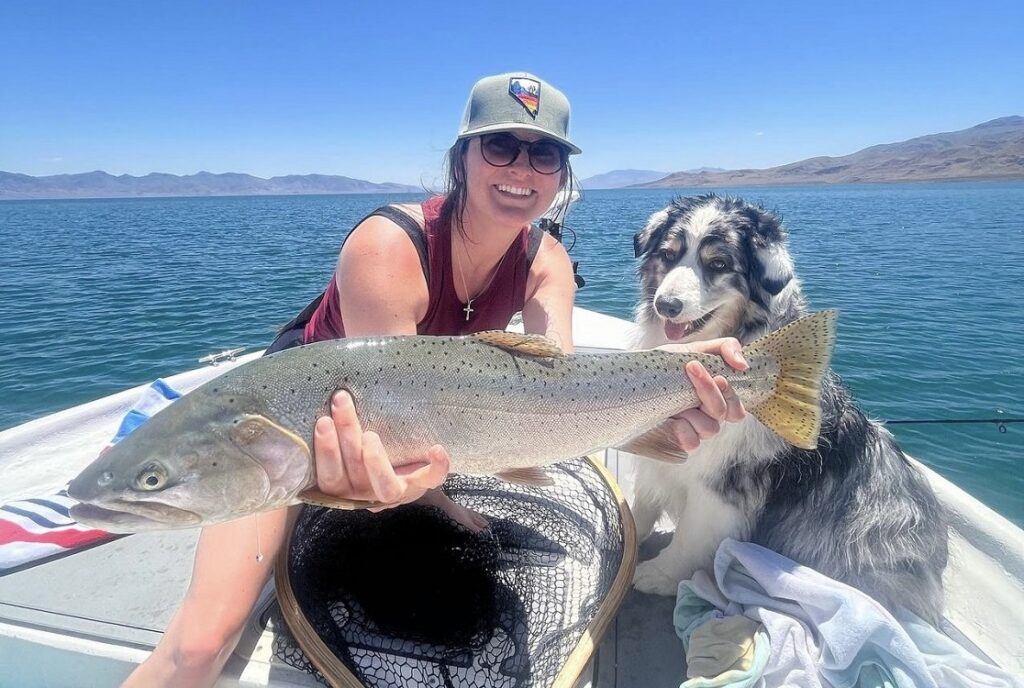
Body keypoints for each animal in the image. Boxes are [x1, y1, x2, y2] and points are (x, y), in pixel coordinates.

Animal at [626, 193, 946, 622]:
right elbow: (642, 504)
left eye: (719, 264)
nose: (666, 305)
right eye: (668, 254)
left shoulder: (723, 487)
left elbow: (690, 538)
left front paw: (657, 575)